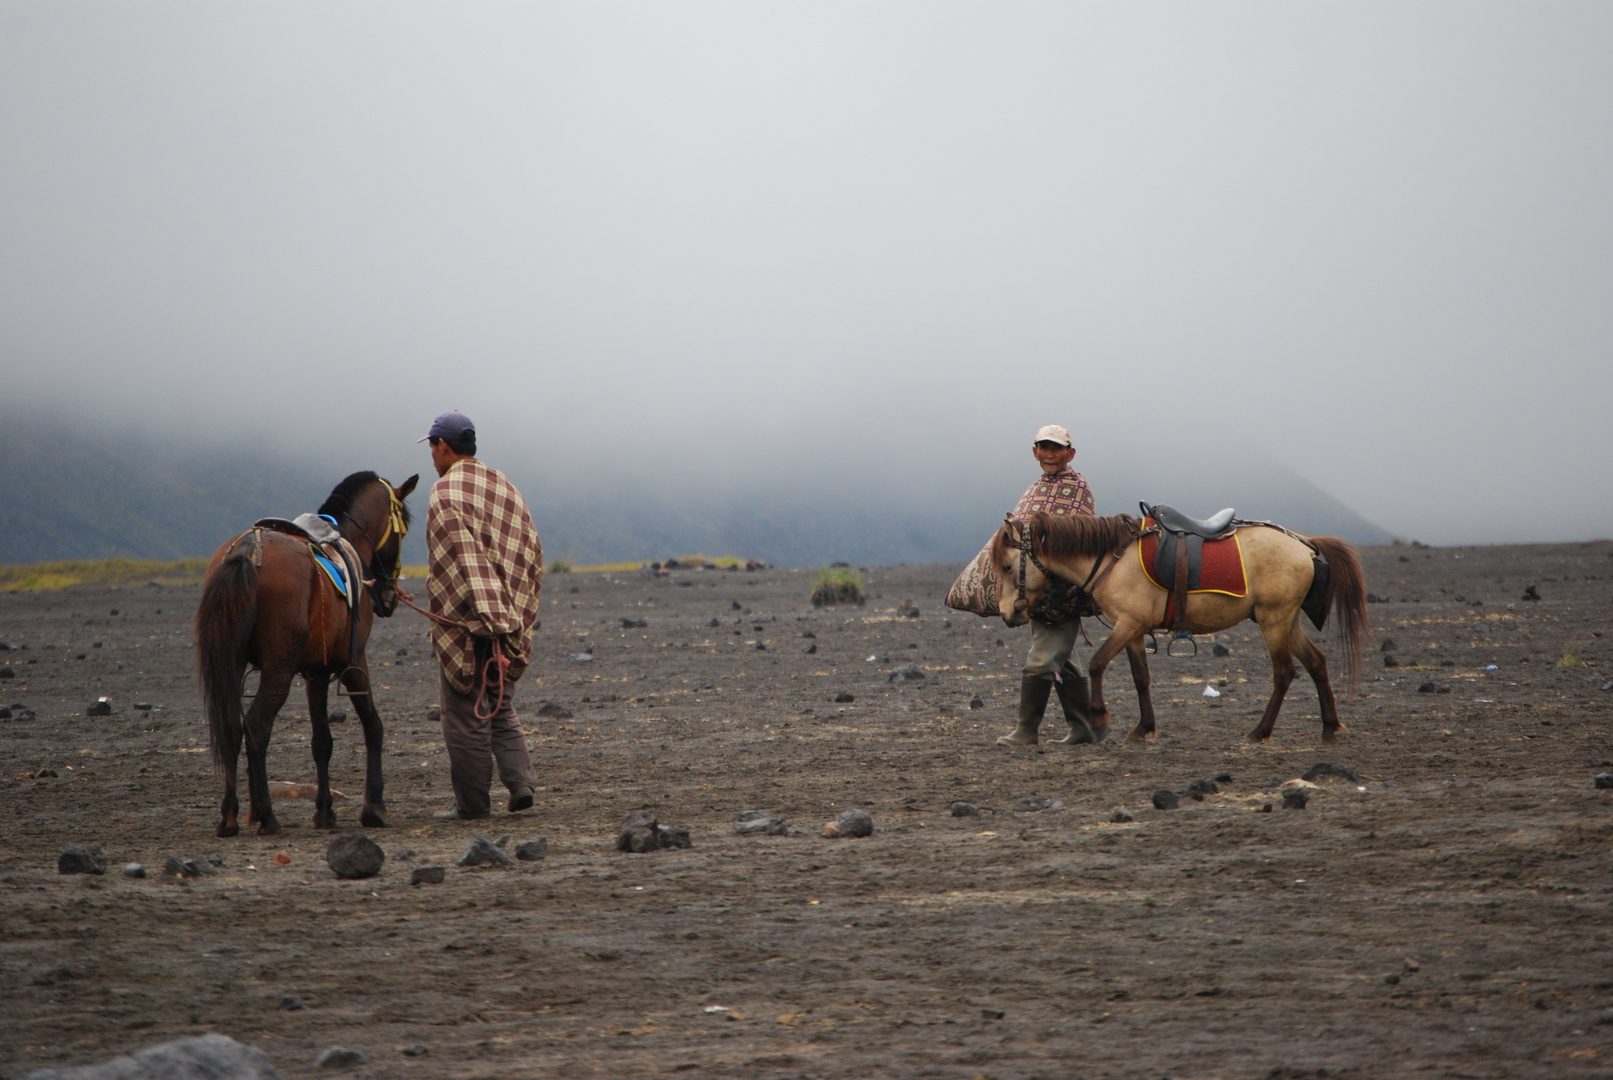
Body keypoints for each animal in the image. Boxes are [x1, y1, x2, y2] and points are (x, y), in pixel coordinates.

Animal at [193, 470, 416, 838]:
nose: (389, 594)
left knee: (231, 730)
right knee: (256, 726)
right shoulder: (354, 663)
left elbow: (321, 741)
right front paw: (374, 807)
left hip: (232, 663)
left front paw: (325, 811)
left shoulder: (316, 672)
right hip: (278, 670)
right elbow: (373, 725)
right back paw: (266, 816)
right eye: (404, 529)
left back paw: (230, 817)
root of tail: (247, 549)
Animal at [987, 512, 1367, 744]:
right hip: (1287, 620)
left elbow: (1096, 664)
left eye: (1007, 566)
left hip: (1273, 618)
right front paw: (1144, 728)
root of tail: (1305, 544)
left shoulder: (1128, 623)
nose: (1006, 613)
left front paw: (1099, 717)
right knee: (1316, 662)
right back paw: (1330, 727)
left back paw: (1260, 731)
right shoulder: (1134, 629)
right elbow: (1141, 677)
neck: (1112, 558)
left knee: (1285, 672)